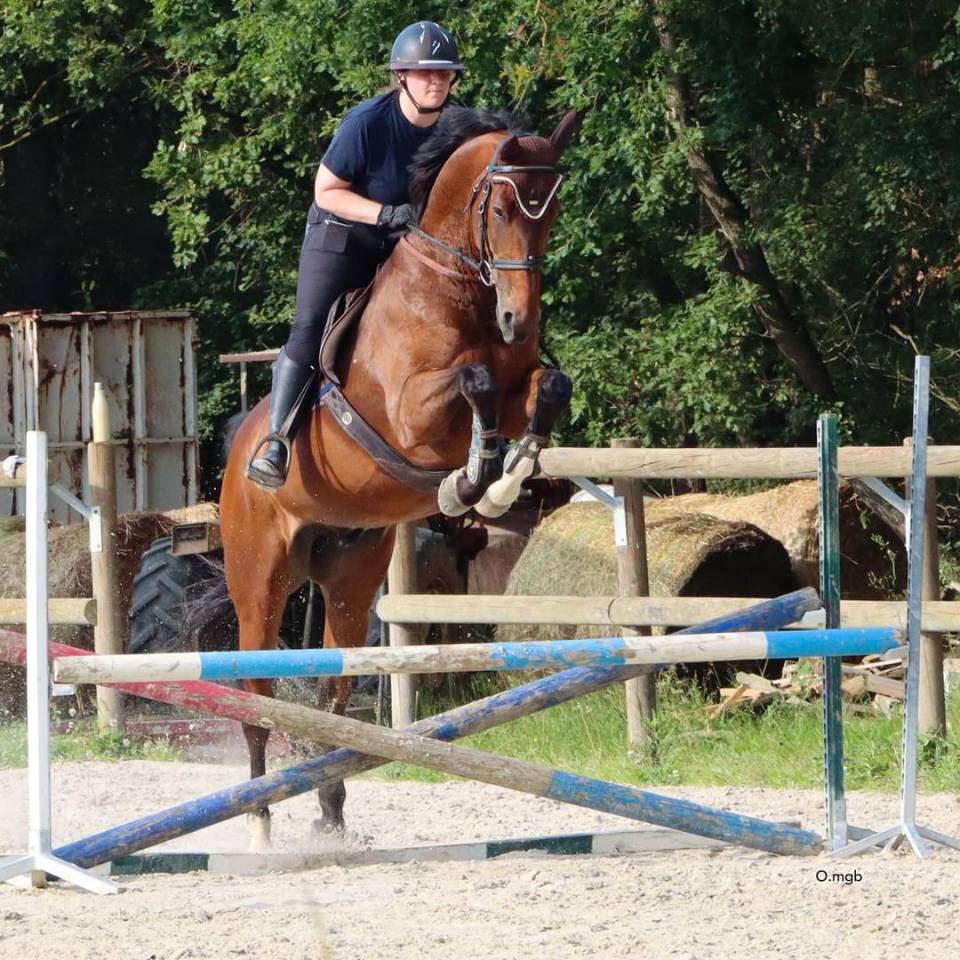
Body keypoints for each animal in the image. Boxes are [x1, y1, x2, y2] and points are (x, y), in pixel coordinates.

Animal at [218, 106, 578, 848]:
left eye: (552, 210)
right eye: (502, 208)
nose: (518, 319)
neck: (462, 290)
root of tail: (237, 454)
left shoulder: (523, 382)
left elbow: (547, 389)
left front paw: (504, 476)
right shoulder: (413, 412)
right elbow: (472, 384)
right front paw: (472, 480)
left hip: (351, 577)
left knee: (333, 689)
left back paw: (329, 811)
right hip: (258, 581)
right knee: (258, 692)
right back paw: (261, 820)